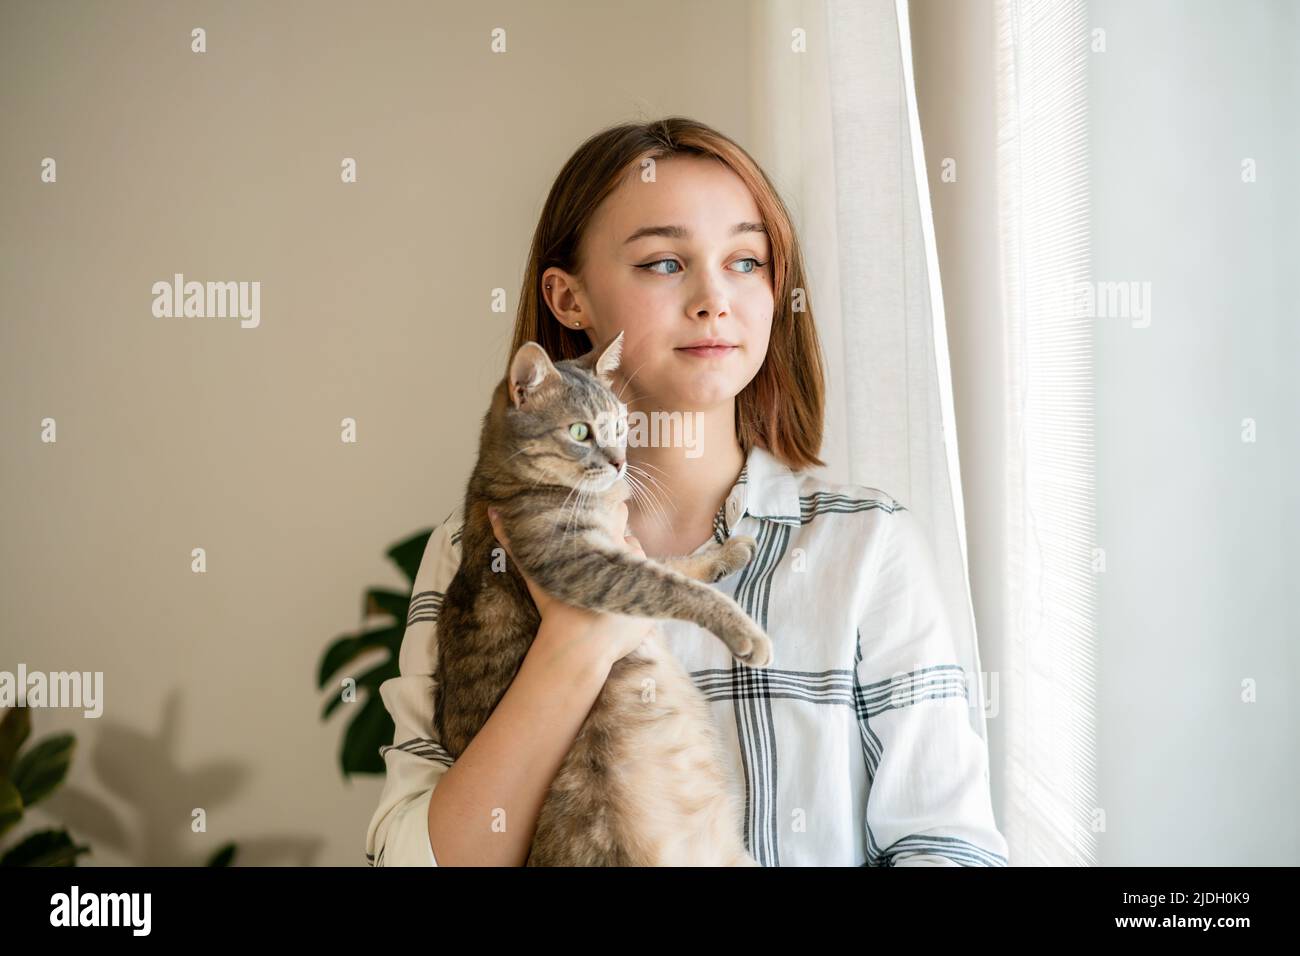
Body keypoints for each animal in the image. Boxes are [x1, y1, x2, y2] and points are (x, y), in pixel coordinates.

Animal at [431, 329, 769, 868]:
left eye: (617, 425)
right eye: (580, 432)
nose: (620, 461)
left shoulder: (621, 548)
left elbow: (672, 564)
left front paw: (727, 552)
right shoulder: (580, 564)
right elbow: (668, 584)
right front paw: (744, 631)